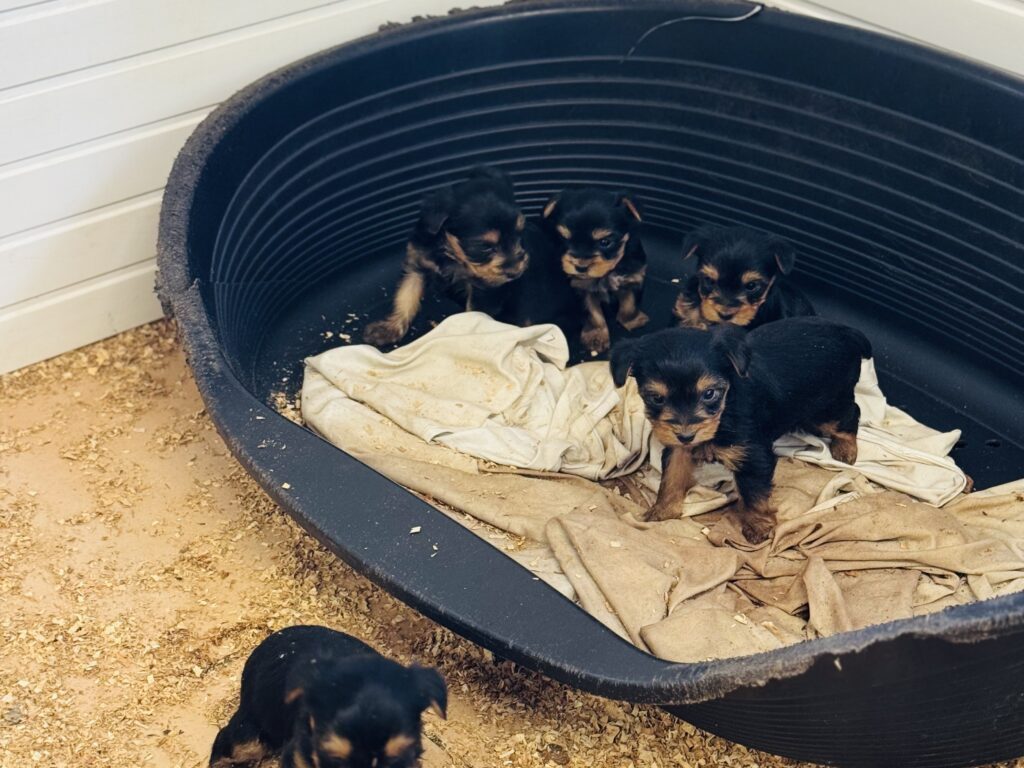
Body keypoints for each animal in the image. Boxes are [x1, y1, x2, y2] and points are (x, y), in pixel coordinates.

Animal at [363, 165, 573, 346]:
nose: (515, 272)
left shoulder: (486, 290)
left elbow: (473, 313)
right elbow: (406, 296)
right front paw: (388, 329)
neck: (451, 252)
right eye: (484, 247)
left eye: (518, 234)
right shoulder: (417, 264)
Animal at [542, 188, 648, 354]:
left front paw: (632, 320)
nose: (580, 267)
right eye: (564, 239)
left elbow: (630, 304)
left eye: (605, 242)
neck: (609, 271)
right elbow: (593, 313)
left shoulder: (634, 277)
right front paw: (596, 336)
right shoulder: (581, 288)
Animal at [611, 318, 870, 543]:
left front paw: (758, 527)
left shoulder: (753, 456)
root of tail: (845, 330)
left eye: (709, 394)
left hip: (822, 409)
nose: (686, 435)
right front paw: (662, 512)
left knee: (851, 413)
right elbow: (671, 478)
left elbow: (754, 494)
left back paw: (846, 449)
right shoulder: (678, 448)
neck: (725, 410)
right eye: (656, 398)